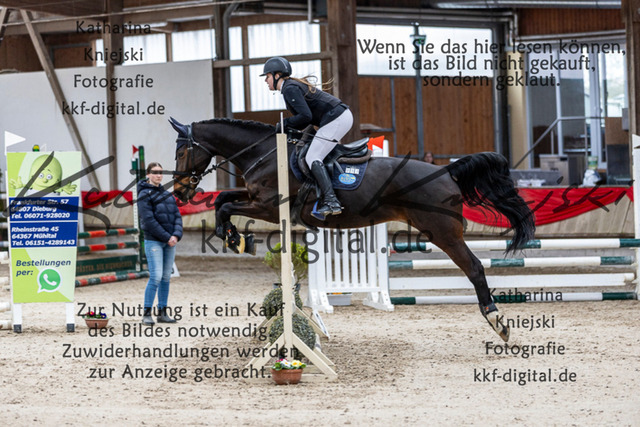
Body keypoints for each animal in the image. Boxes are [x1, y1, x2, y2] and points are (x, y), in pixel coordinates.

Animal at [170, 117, 536, 342]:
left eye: (182, 150)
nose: (180, 192)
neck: (264, 153)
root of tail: (446, 171)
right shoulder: (256, 199)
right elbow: (223, 201)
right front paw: (236, 237)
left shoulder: (269, 208)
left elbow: (225, 206)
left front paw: (236, 239)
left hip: (443, 233)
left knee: (474, 268)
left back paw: (497, 322)